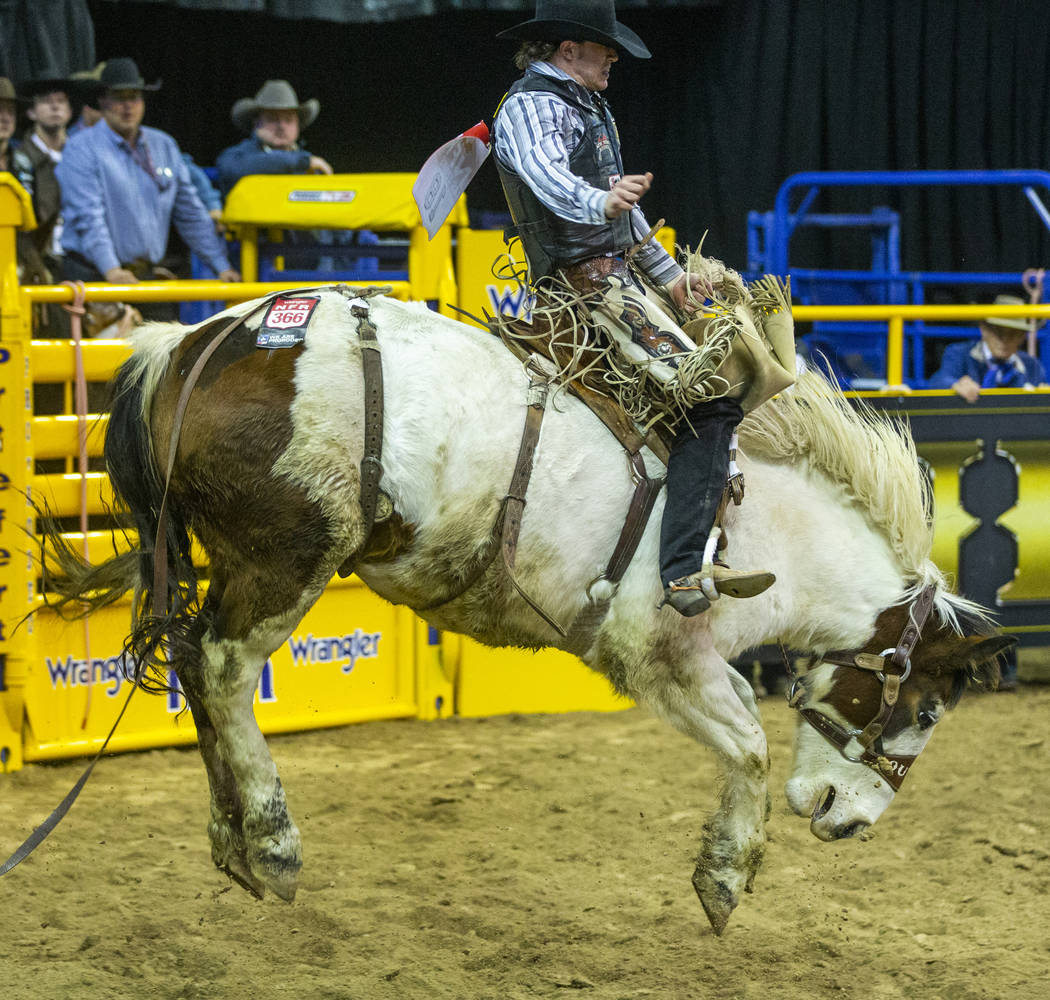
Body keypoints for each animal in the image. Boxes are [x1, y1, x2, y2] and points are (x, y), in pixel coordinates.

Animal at [47, 285, 1007, 932]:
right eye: (925, 710)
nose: (849, 822)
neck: (764, 520)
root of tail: (191, 342)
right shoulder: (660, 654)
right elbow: (749, 742)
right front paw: (726, 879)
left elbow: (749, 729)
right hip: (285, 559)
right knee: (223, 667)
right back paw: (274, 845)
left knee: (192, 666)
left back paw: (231, 841)